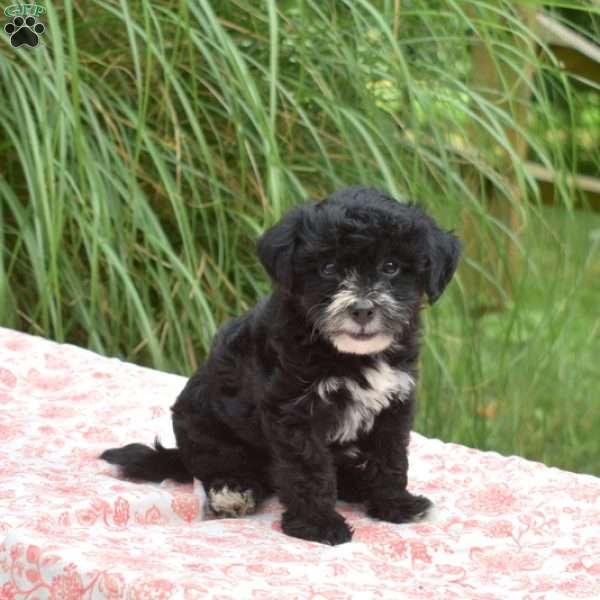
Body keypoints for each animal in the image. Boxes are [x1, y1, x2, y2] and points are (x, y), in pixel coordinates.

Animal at [101, 186, 462, 544]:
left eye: (390, 266)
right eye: (328, 268)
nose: (361, 309)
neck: (348, 355)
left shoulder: (394, 403)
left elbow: (389, 456)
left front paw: (395, 504)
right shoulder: (294, 411)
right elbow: (309, 468)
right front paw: (318, 524)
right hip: (206, 430)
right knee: (221, 468)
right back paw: (232, 492)